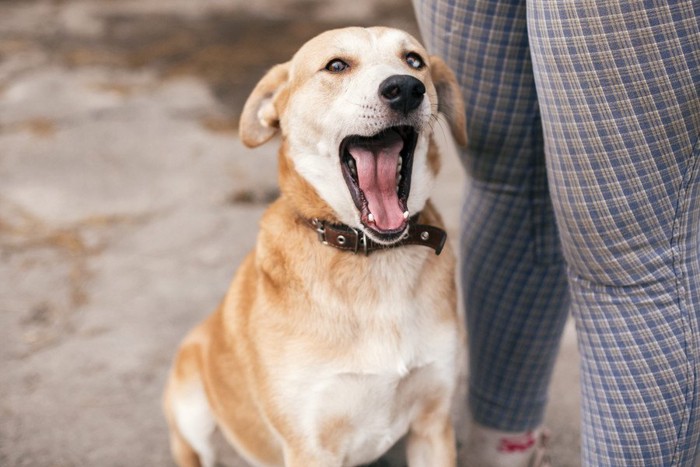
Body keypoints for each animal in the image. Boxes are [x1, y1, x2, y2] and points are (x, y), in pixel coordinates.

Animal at [163, 26, 468, 467]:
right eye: (336, 65)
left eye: (414, 61)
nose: (407, 89)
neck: (373, 257)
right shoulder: (309, 445)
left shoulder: (433, 425)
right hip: (191, 404)